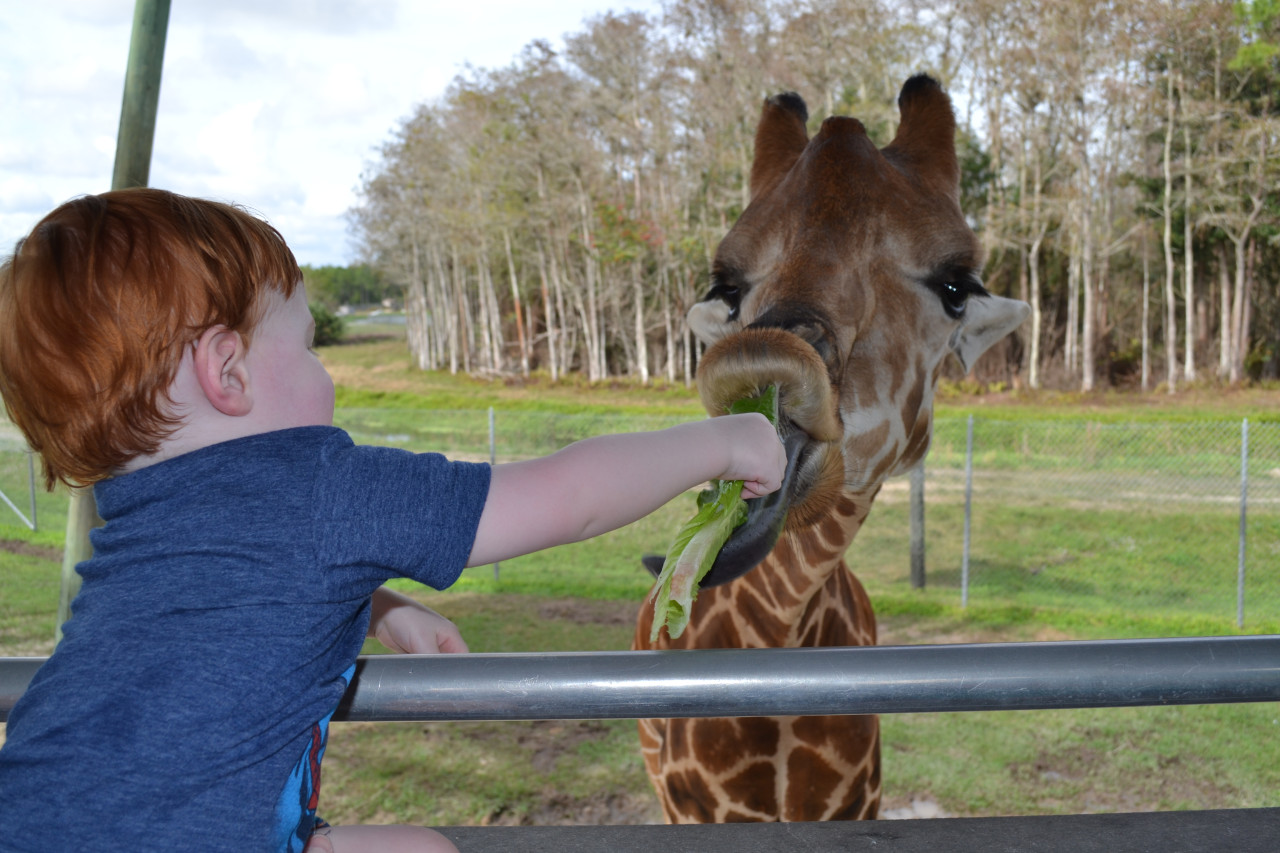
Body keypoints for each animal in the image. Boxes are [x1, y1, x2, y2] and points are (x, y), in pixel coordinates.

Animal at [634, 76, 1034, 819]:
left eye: (956, 286)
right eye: (726, 287)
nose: (764, 377)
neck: (781, 630)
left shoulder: (855, 802)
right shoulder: (690, 806)